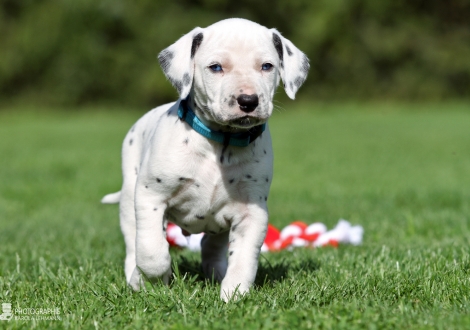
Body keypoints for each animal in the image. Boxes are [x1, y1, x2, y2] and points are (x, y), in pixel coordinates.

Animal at [102, 18, 308, 302]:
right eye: (216, 67)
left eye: (267, 66)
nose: (248, 100)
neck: (221, 142)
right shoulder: (150, 196)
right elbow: (152, 252)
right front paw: (146, 279)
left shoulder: (251, 213)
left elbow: (244, 258)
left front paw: (234, 294)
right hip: (128, 200)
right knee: (134, 244)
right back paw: (134, 275)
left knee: (211, 247)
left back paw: (217, 273)